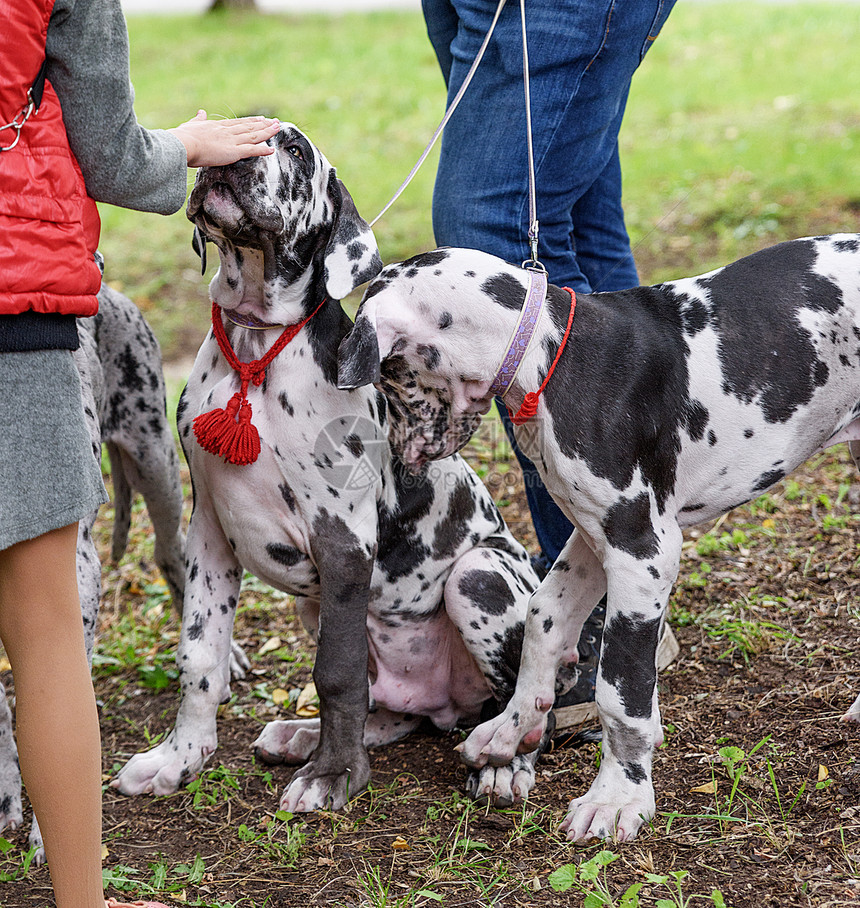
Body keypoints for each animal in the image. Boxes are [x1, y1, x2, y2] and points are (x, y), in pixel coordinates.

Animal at [114, 124, 548, 812]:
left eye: (292, 149)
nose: (229, 159)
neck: (256, 351)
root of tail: (449, 707)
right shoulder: (208, 530)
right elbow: (200, 656)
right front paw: (179, 758)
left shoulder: (342, 539)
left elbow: (336, 672)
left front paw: (335, 775)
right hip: (316, 610)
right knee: (396, 711)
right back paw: (302, 733)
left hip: (477, 575)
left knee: (525, 699)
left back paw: (505, 763)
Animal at [338, 239, 860, 844]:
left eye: (390, 382)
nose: (401, 453)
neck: (545, 355)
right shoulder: (591, 536)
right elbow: (542, 618)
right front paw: (511, 729)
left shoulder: (641, 550)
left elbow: (619, 693)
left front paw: (617, 798)